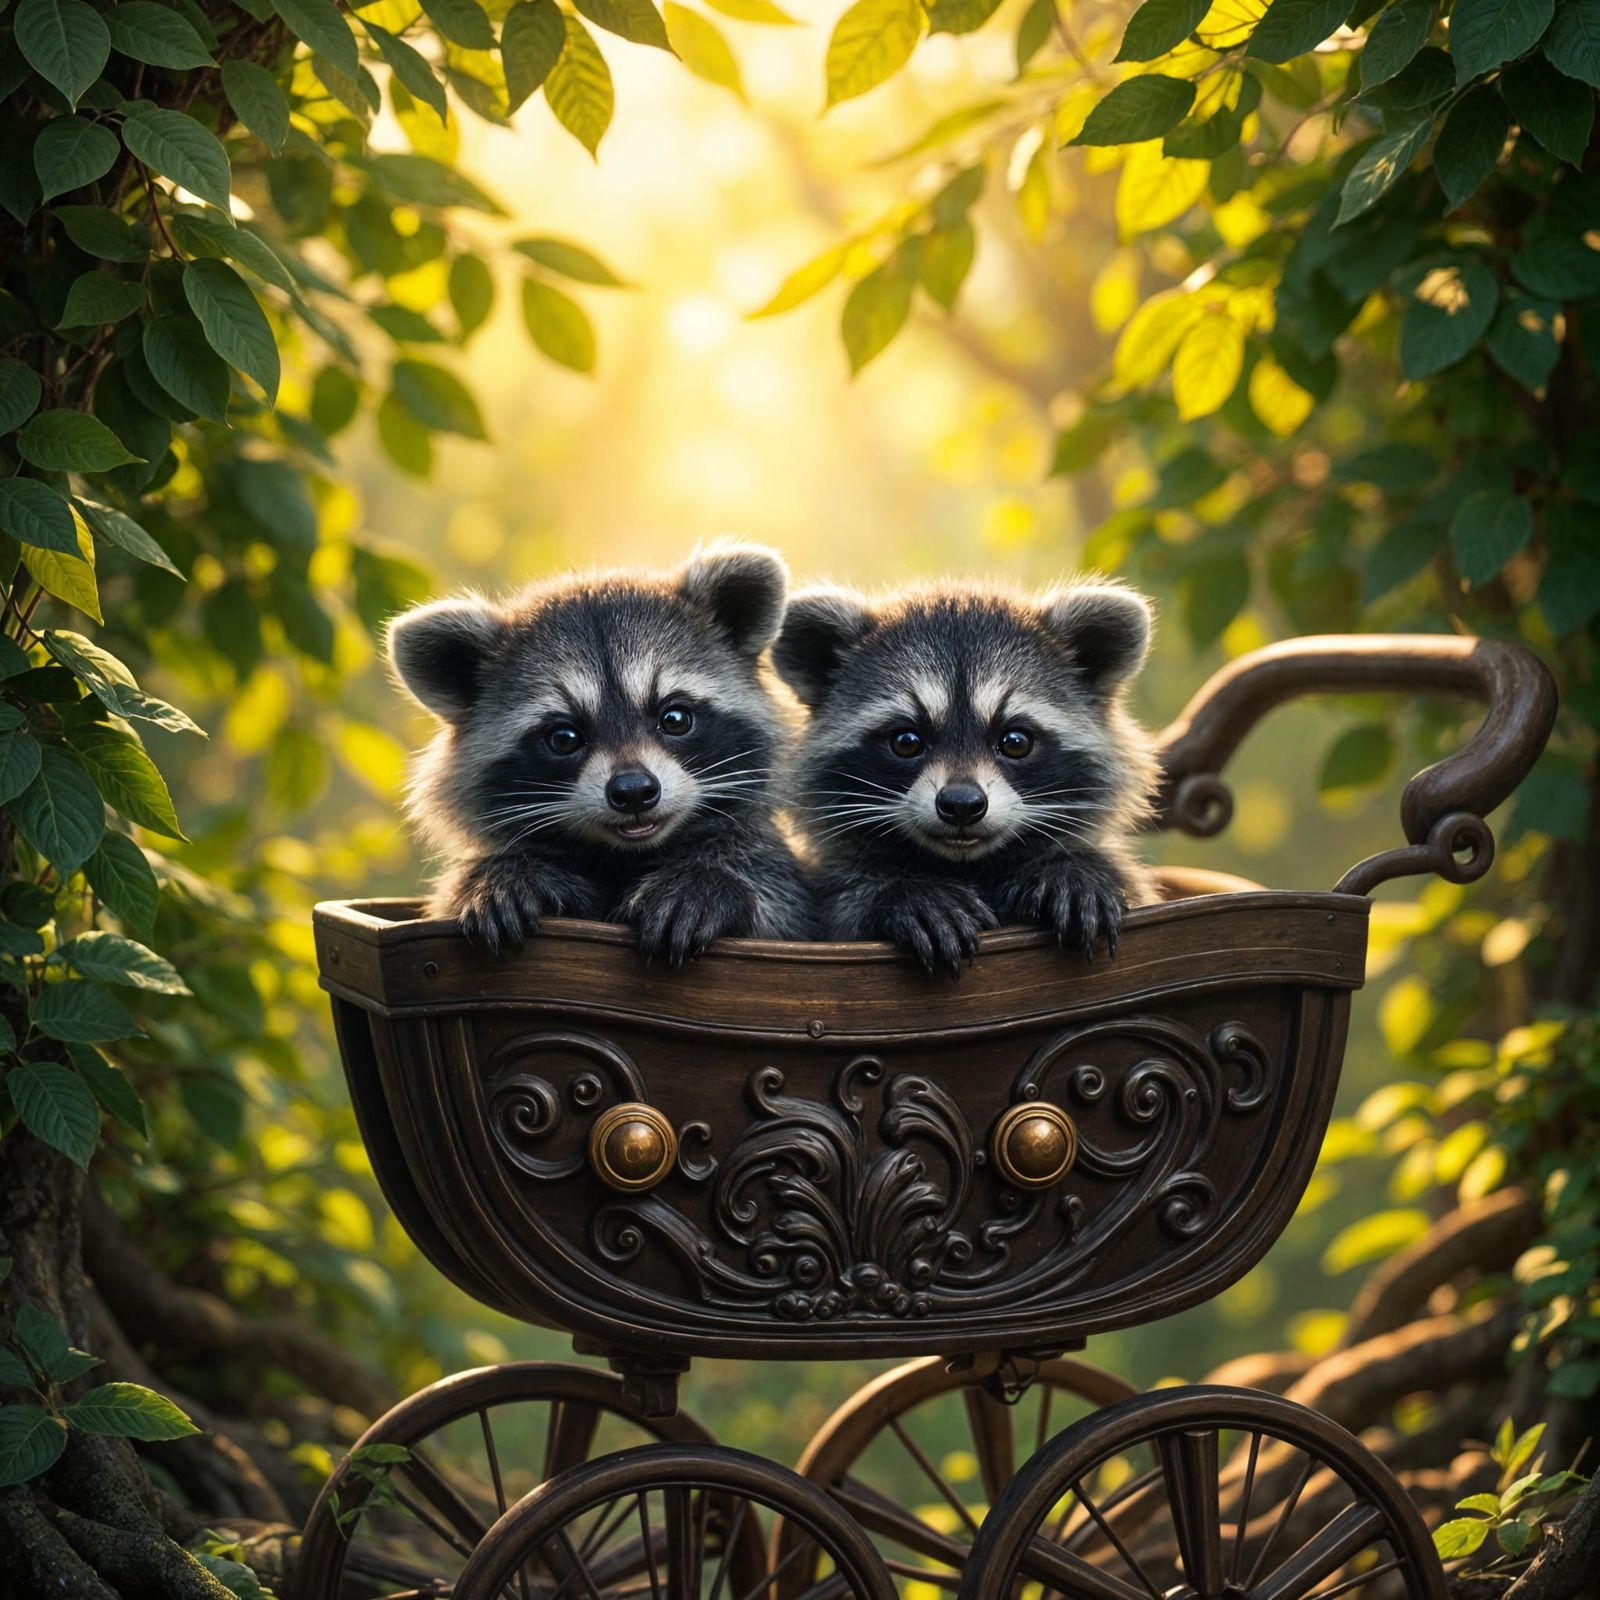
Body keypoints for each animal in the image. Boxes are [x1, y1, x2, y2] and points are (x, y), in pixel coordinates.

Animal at [388, 544, 810, 962]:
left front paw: (710, 879)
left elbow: (777, 896)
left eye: (674, 718)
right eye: (564, 738)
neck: (624, 856)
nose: (634, 791)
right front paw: (505, 873)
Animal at [773, 581, 1158, 977]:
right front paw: (902, 890)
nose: (961, 805)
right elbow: (845, 904)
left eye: (1015, 742)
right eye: (906, 741)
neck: (967, 865)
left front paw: (1071, 869)